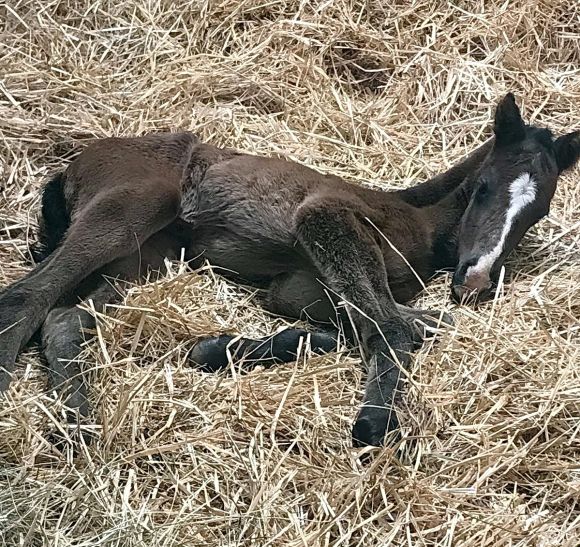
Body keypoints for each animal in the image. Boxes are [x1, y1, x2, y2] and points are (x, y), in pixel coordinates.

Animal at [1, 93, 580, 446]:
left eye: (539, 211)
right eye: (482, 188)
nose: (476, 278)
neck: (415, 215)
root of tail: (78, 162)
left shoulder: (298, 287)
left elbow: (380, 322)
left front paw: (216, 349)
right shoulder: (326, 219)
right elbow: (395, 326)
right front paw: (372, 424)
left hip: (143, 258)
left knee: (63, 320)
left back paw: (79, 426)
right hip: (127, 210)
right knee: (26, 297)